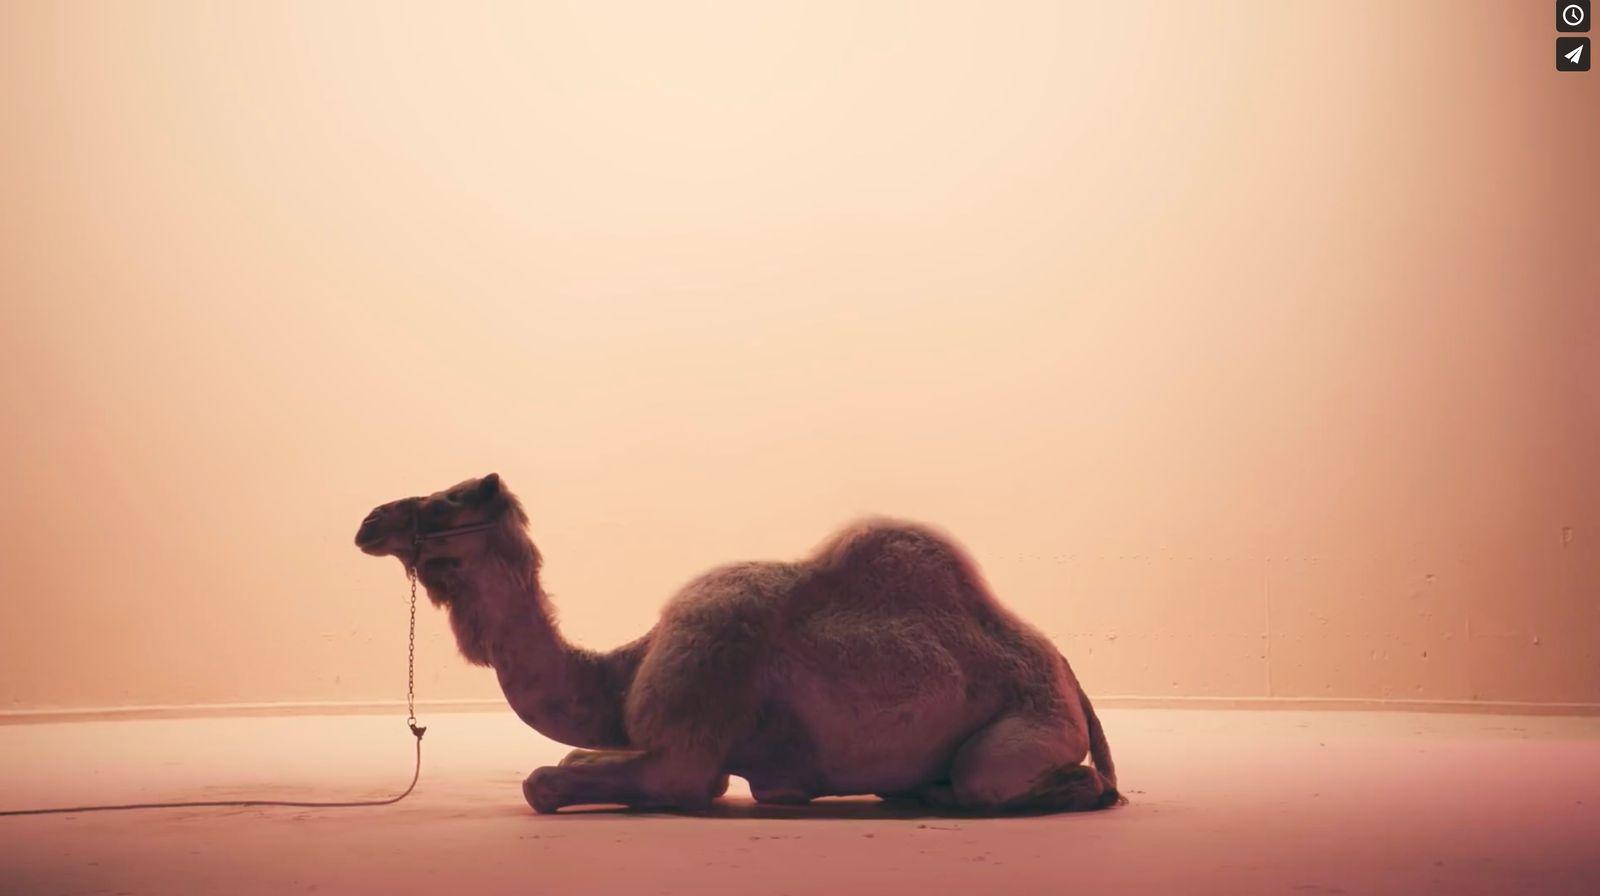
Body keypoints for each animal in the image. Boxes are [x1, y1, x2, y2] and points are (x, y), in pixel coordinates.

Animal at [355, 474, 1121, 814]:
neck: (622, 673)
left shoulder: (689, 746)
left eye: (447, 499)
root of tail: (1066, 672)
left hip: (1027, 727)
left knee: (1018, 780)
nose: (370, 519)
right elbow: (567, 759)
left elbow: (544, 782)